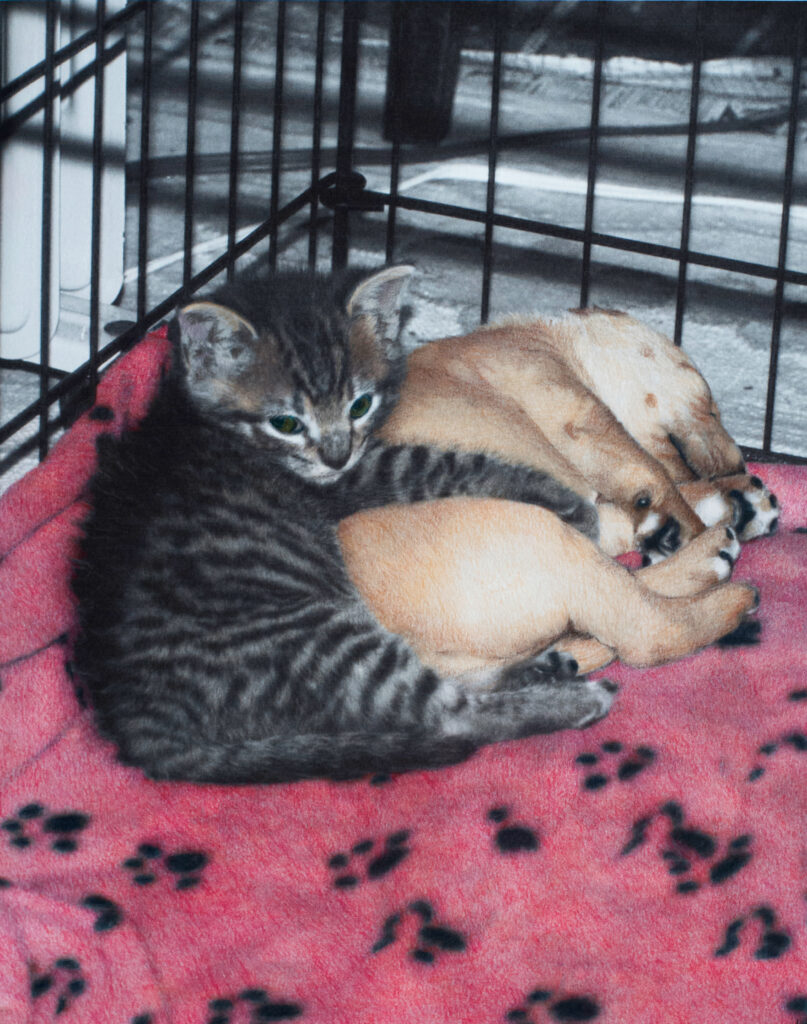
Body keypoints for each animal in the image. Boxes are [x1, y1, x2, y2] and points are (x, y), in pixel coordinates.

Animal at [72, 266, 614, 782]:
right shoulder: (361, 475)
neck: (208, 421)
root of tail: (139, 725)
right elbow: (448, 465)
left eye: (360, 405)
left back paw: (542, 667)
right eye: (285, 423)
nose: (335, 456)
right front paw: (570, 503)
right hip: (323, 643)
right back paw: (575, 700)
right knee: (452, 718)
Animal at [335, 307, 774, 684]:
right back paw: (722, 578)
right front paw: (697, 519)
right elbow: (652, 472)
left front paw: (731, 499)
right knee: (647, 629)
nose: (740, 462)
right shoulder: (576, 411)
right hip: (533, 531)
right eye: (711, 406)